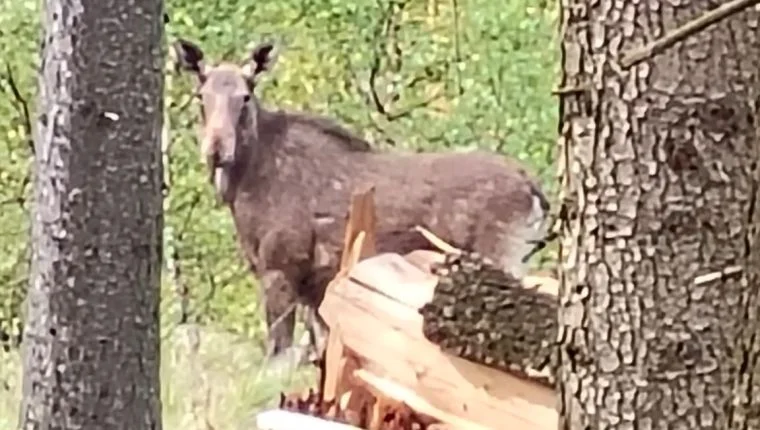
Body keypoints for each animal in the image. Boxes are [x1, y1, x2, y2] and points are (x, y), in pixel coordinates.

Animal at [171, 36, 552, 360]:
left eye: (245, 97)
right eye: (200, 96)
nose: (216, 150)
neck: (241, 188)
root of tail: (535, 189)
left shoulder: (281, 266)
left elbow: (278, 356)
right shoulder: (315, 287)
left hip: (502, 256)